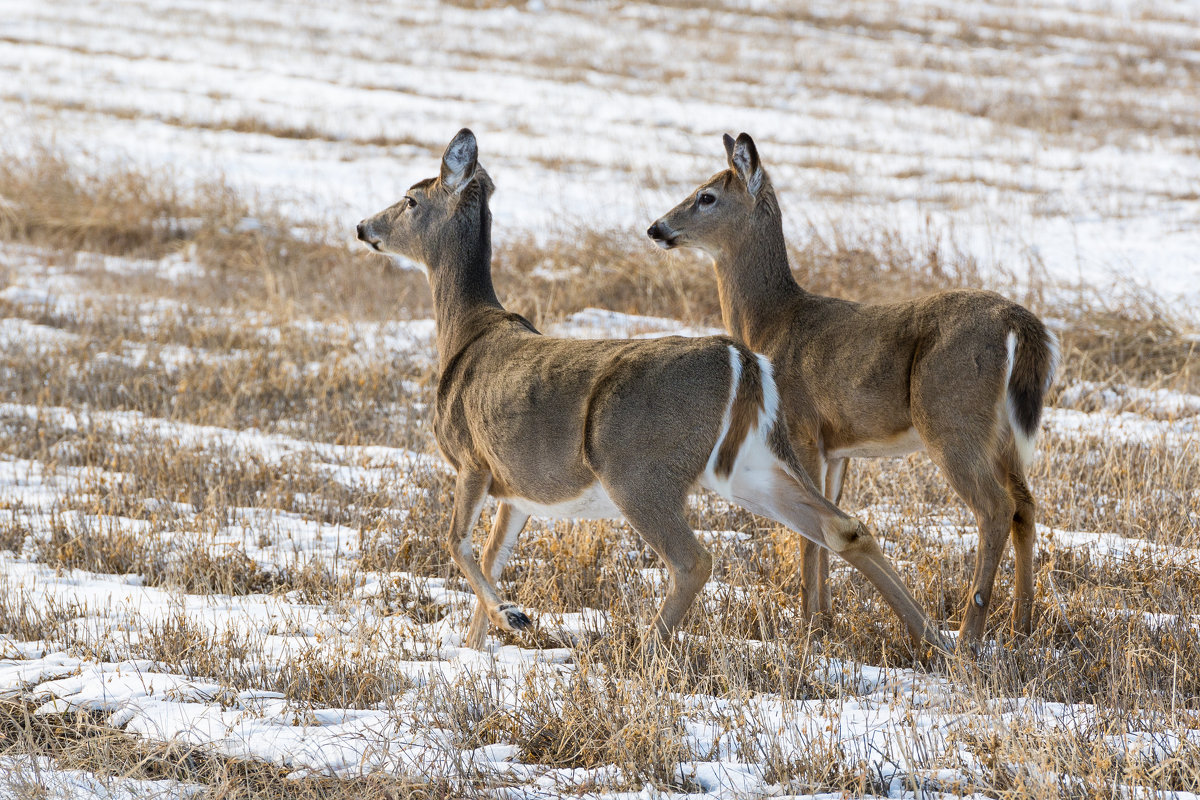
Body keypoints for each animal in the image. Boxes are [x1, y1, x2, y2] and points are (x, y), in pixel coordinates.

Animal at [355, 130, 945, 657]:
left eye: (410, 199)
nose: (363, 226)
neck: (466, 332)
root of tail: (742, 360)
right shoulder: (516, 489)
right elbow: (492, 557)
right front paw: (478, 647)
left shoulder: (471, 458)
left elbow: (455, 543)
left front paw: (514, 616)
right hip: (748, 464)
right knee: (843, 526)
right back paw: (940, 643)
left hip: (638, 469)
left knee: (694, 560)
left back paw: (642, 653)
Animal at [648, 131, 1060, 642]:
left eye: (706, 196)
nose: (656, 228)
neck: (771, 324)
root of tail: (1018, 323)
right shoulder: (836, 448)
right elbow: (830, 518)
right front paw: (824, 619)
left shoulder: (799, 427)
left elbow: (808, 530)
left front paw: (808, 623)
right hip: (1004, 432)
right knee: (1025, 504)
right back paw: (1022, 625)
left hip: (951, 417)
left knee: (994, 508)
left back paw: (969, 634)